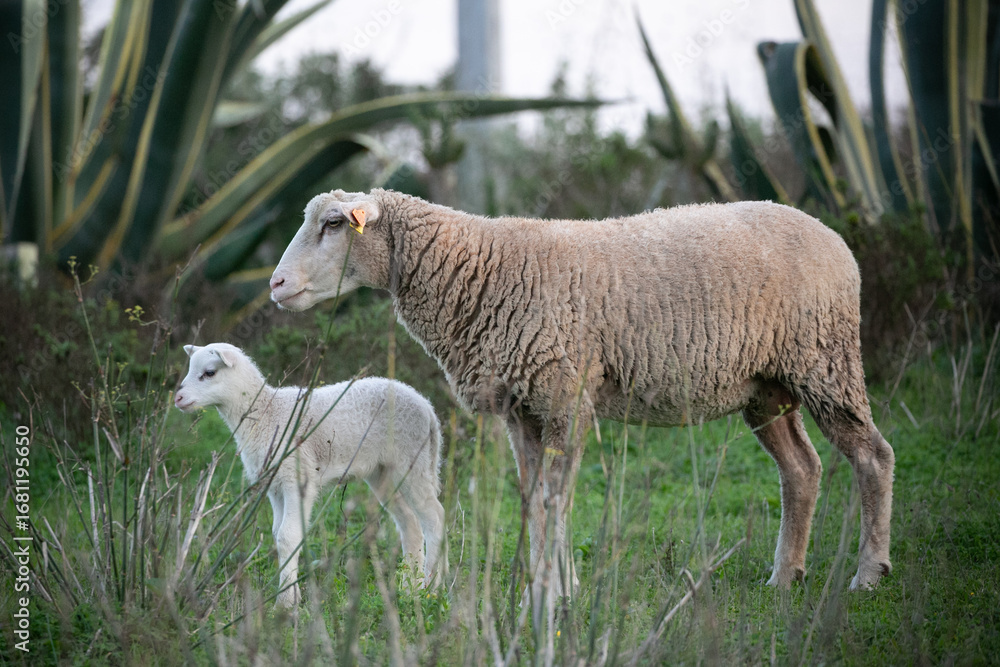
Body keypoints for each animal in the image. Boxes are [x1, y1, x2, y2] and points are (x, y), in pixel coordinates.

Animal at [174, 342, 446, 607]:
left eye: (209, 372)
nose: (178, 398)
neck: (266, 414)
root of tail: (428, 408)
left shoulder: (297, 477)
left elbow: (288, 536)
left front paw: (284, 603)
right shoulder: (275, 486)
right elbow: (278, 534)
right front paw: (291, 596)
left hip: (412, 460)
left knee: (434, 517)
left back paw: (432, 587)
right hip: (383, 472)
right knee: (410, 524)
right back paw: (410, 590)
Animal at [268, 189, 895, 601]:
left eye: (332, 224)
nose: (275, 284)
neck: (478, 268)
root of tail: (833, 235)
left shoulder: (564, 394)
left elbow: (555, 500)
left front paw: (547, 592)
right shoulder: (522, 407)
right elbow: (534, 500)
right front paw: (554, 584)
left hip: (825, 358)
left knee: (873, 456)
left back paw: (869, 572)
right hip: (767, 386)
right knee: (802, 470)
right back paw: (785, 575)